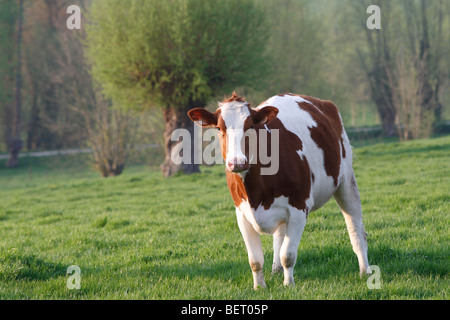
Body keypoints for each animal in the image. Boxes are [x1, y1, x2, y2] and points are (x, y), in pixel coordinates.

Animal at [186, 91, 370, 288]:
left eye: (251, 126)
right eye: (220, 128)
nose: (237, 162)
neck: (255, 193)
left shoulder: (299, 208)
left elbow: (287, 255)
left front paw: (289, 285)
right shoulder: (242, 214)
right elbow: (255, 260)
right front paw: (259, 286)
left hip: (346, 180)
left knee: (356, 229)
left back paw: (365, 271)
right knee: (279, 236)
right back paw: (275, 270)